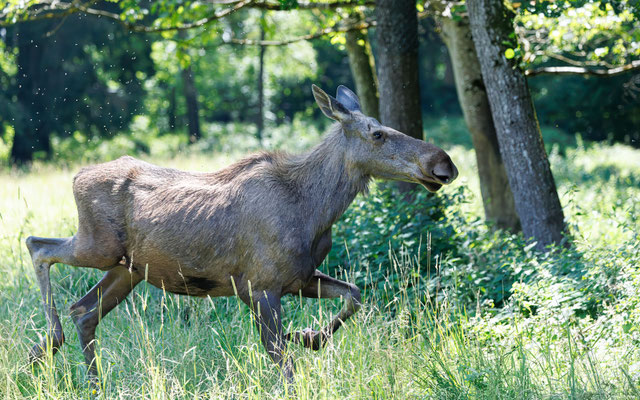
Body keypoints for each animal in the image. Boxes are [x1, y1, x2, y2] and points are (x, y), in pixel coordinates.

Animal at [26, 84, 457, 383]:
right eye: (377, 134)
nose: (444, 164)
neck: (314, 210)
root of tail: (77, 175)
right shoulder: (259, 286)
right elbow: (283, 361)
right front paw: (303, 341)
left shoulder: (299, 277)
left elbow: (353, 295)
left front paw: (310, 335)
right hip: (97, 246)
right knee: (37, 246)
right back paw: (46, 347)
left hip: (128, 269)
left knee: (84, 311)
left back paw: (79, 375)